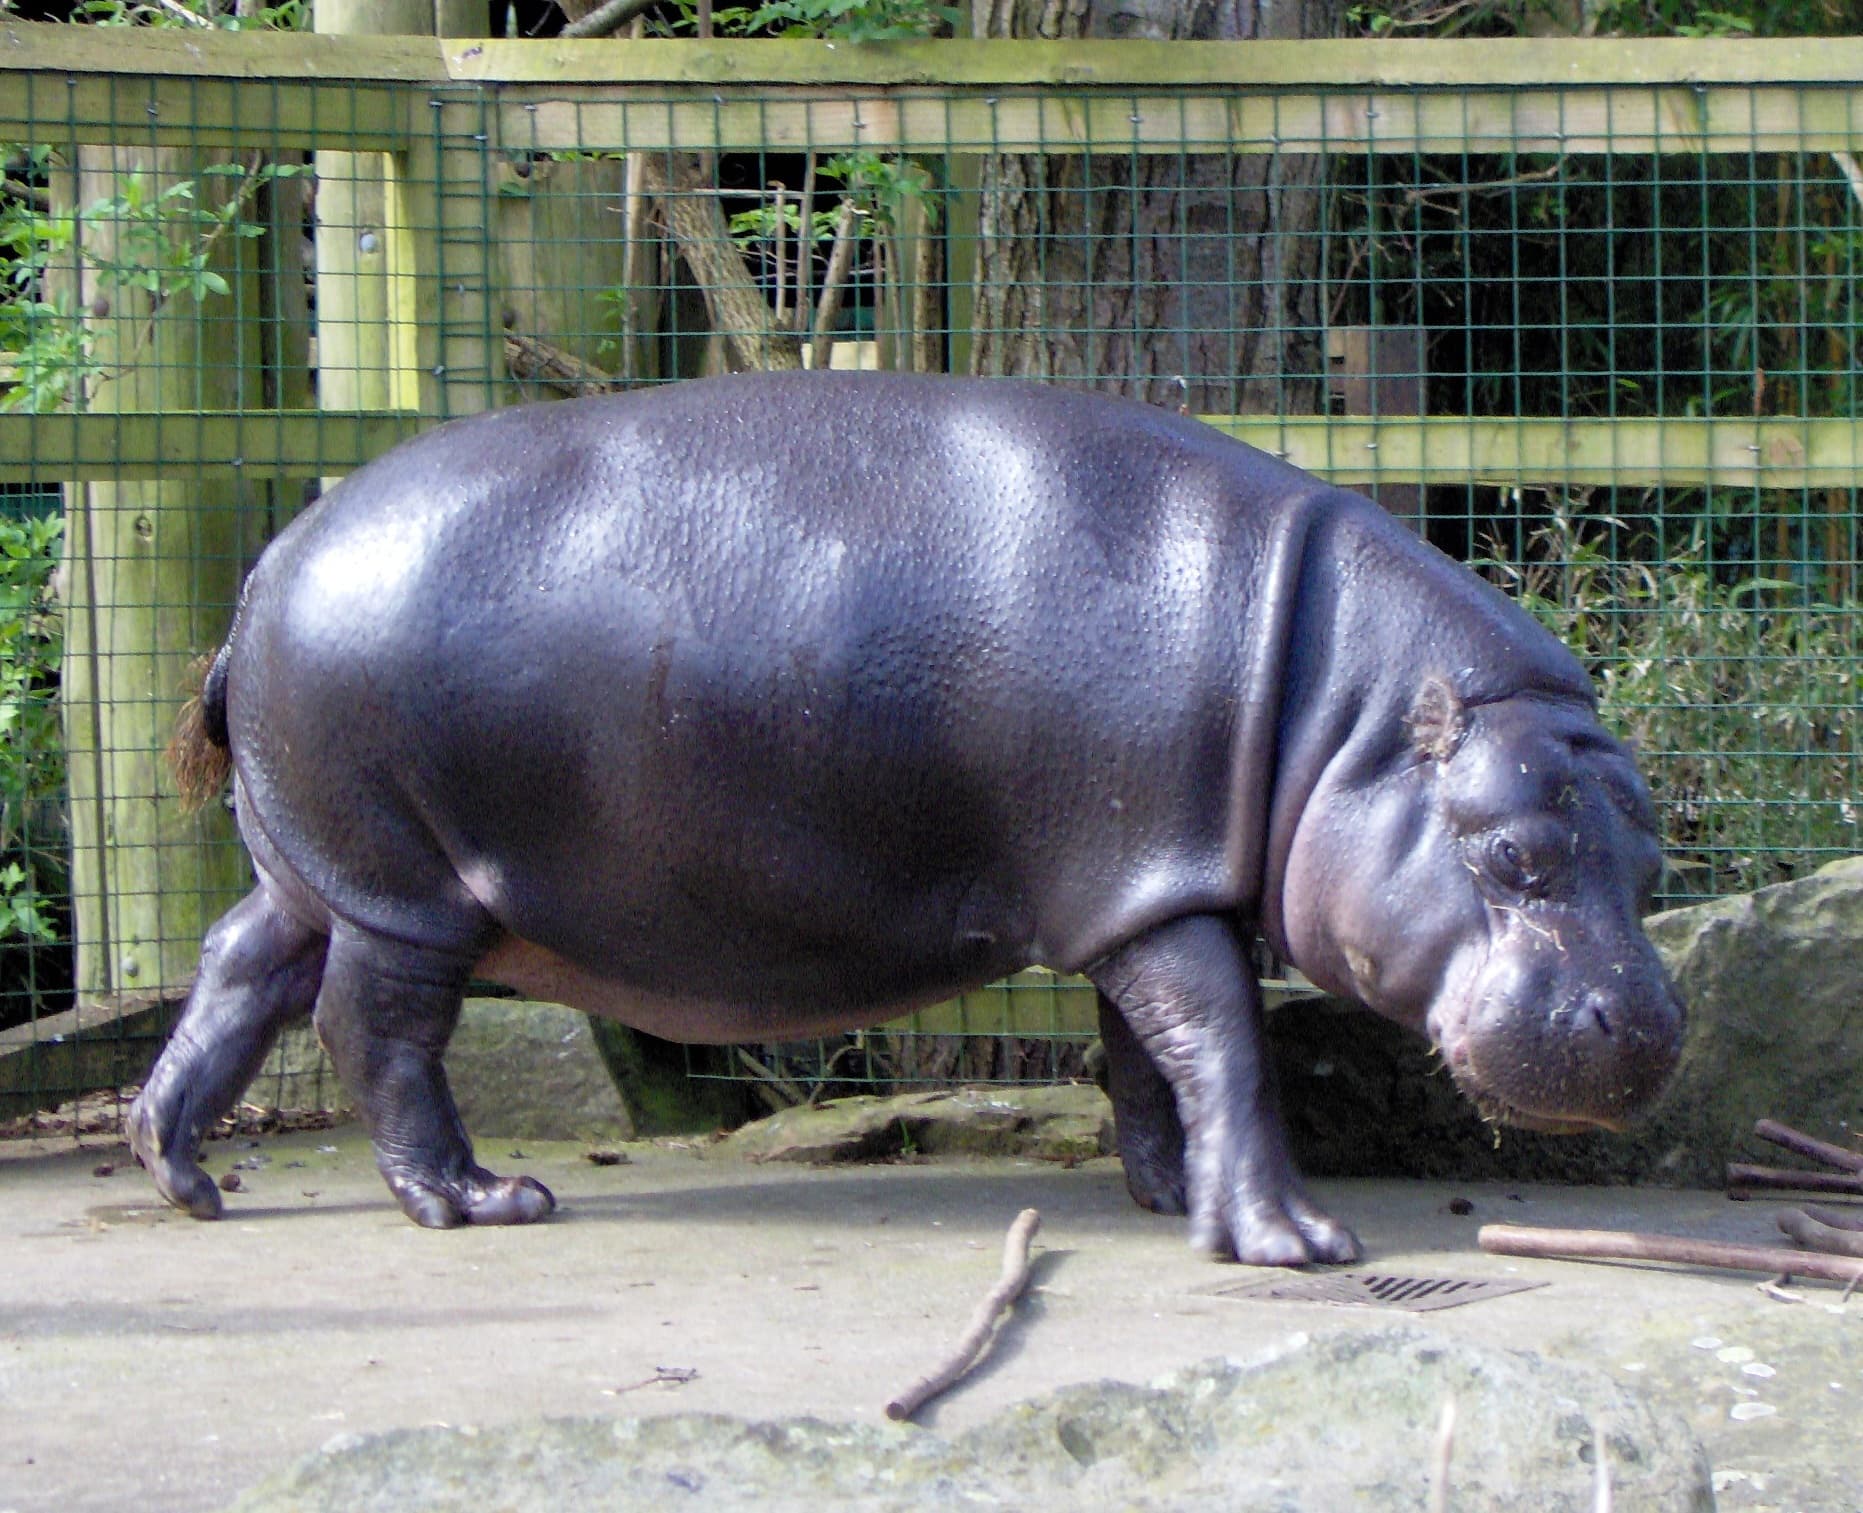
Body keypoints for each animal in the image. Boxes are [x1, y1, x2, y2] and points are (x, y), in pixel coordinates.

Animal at [130, 371, 1684, 1266]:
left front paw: (1165, 1195)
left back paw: (184, 1176)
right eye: (1512, 853)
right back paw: (480, 1201)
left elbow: (1150, 1057)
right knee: (374, 1031)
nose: (1653, 1025)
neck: (1340, 715)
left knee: (237, 967)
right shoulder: (1153, 886)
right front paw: (1292, 1240)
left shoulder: (1135, 881)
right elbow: (1224, 1045)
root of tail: (268, 565)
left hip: (315, 862)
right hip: (408, 883)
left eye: (1651, 844)